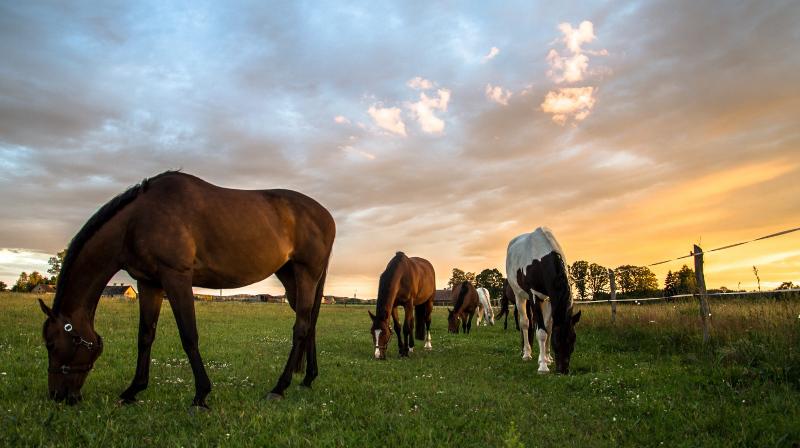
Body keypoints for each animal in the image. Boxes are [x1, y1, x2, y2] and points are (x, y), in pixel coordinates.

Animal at [37, 171, 334, 406]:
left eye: (52, 344)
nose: (58, 396)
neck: (138, 220)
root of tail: (326, 215)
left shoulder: (176, 277)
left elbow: (189, 335)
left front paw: (201, 396)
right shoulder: (149, 283)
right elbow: (145, 336)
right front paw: (133, 390)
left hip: (306, 274)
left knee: (301, 327)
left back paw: (279, 388)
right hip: (290, 276)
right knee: (310, 322)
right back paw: (308, 378)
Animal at [506, 228, 580, 374]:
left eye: (573, 340)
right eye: (557, 341)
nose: (563, 370)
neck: (541, 259)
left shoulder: (549, 299)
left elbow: (548, 328)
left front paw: (546, 358)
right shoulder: (534, 295)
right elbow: (541, 332)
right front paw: (543, 367)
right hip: (520, 296)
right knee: (525, 323)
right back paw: (526, 353)